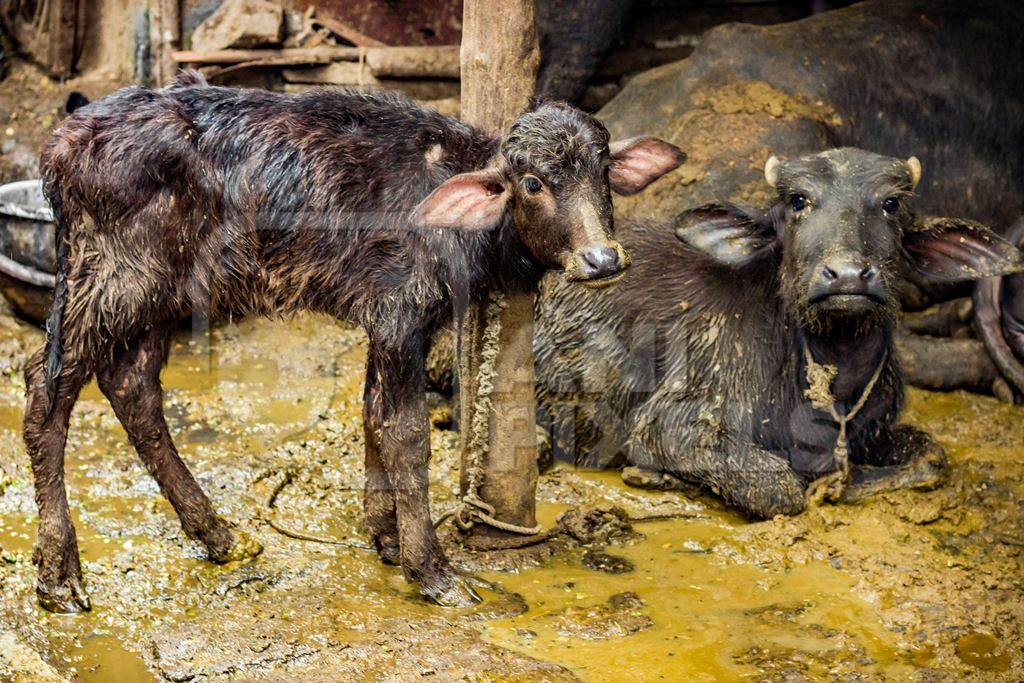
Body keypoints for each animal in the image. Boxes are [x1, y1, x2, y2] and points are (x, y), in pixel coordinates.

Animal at [24, 72, 684, 610]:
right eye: (532, 183)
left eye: (603, 173)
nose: (602, 259)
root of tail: (62, 145)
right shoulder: (399, 314)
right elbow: (406, 432)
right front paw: (433, 570)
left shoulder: (385, 320)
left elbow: (370, 413)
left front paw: (385, 534)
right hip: (110, 278)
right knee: (47, 388)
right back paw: (60, 576)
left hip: (168, 294)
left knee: (132, 386)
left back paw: (220, 535)